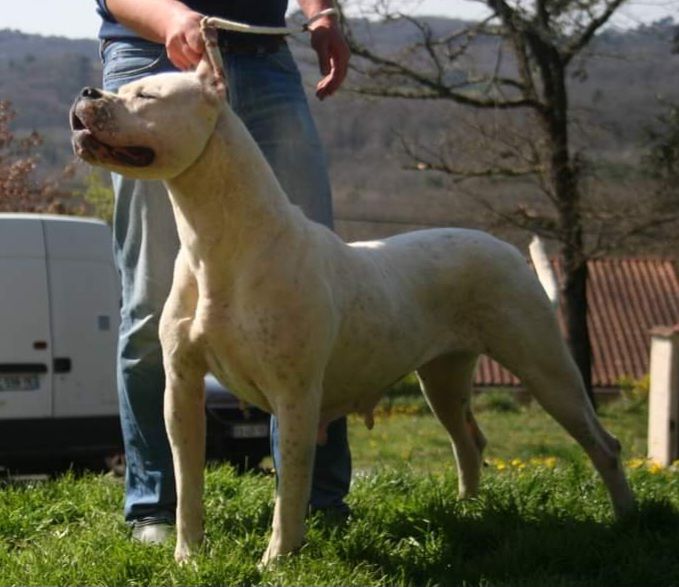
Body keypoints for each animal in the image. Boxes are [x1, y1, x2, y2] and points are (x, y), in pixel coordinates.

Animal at [70, 38, 636, 564]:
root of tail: (508, 250)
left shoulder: (295, 395)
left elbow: (290, 490)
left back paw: (627, 521)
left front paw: (276, 561)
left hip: (544, 367)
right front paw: (187, 555)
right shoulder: (183, 391)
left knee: (603, 444)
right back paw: (470, 512)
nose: (88, 93)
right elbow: (189, 484)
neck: (219, 241)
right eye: (124, 86)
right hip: (444, 378)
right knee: (469, 441)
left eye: (146, 95)